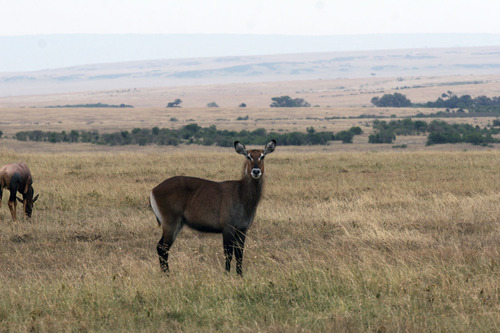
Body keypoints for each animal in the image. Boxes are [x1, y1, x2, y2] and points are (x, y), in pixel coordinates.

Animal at [150, 139, 276, 274]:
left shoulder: (242, 229)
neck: (241, 193)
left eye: (262, 156)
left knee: (162, 248)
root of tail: (154, 189)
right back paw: (167, 275)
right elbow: (228, 254)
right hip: (170, 223)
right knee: (162, 247)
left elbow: (239, 254)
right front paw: (227, 274)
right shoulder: (227, 228)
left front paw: (240, 275)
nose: (256, 171)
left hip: (178, 224)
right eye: (248, 156)